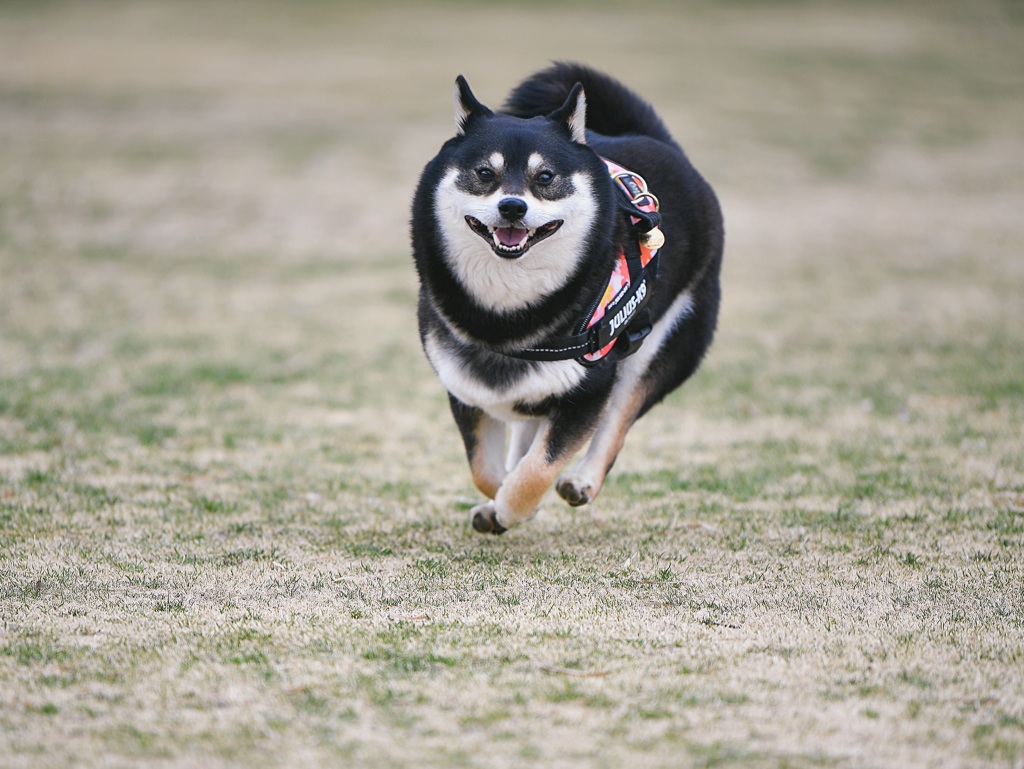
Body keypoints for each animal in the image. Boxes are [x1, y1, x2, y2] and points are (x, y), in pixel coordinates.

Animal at [407, 63, 720, 536]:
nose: (513, 207)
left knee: (617, 420)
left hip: (662, 345)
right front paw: (499, 503)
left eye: (545, 177)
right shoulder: (466, 389)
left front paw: (514, 507)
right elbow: (485, 469)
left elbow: (538, 469)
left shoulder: (588, 389)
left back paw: (582, 481)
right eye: (485, 173)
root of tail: (656, 141)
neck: (507, 315)